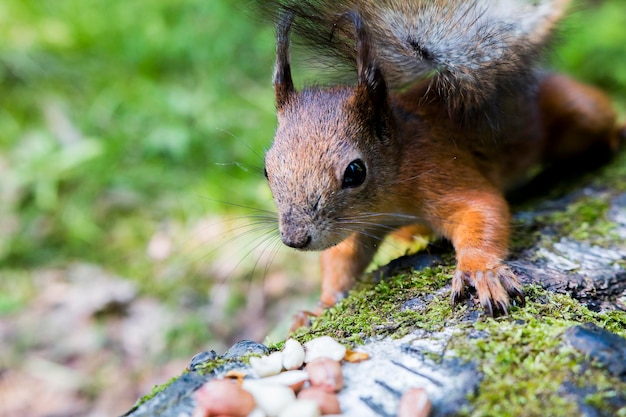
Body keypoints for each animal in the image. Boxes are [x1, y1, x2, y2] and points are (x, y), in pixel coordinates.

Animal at [256, 0, 620, 316]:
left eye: (355, 172)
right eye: (266, 169)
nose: (295, 239)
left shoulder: (439, 169)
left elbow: (483, 208)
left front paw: (481, 271)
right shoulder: (364, 224)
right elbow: (342, 258)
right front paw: (321, 306)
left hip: (573, 111)